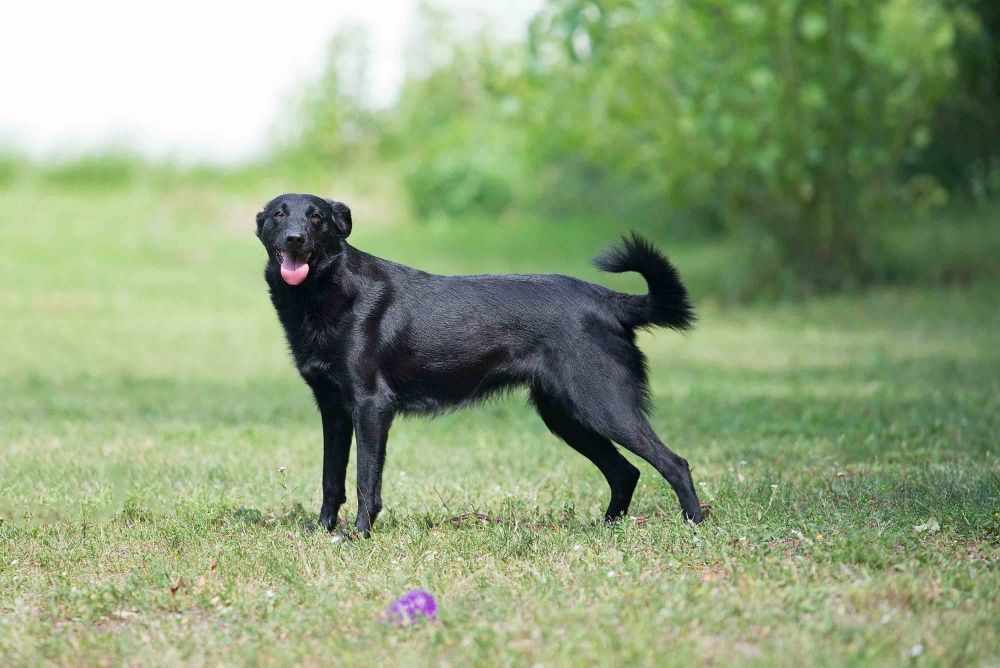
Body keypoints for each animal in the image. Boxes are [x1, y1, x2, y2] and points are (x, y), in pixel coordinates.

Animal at [262, 193, 708, 536]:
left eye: (316, 216)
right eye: (278, 215)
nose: (295, 239)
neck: (325, 293)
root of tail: (608, 300)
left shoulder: (371, 408)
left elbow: (364, 480)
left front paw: (359, 535)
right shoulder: (333, 410)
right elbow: (330, 479)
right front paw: (323, 531)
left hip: (605, 405)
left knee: (675, 463)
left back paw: (695, 525)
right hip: (566, 416)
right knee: (625, 473)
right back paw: (607, 528)